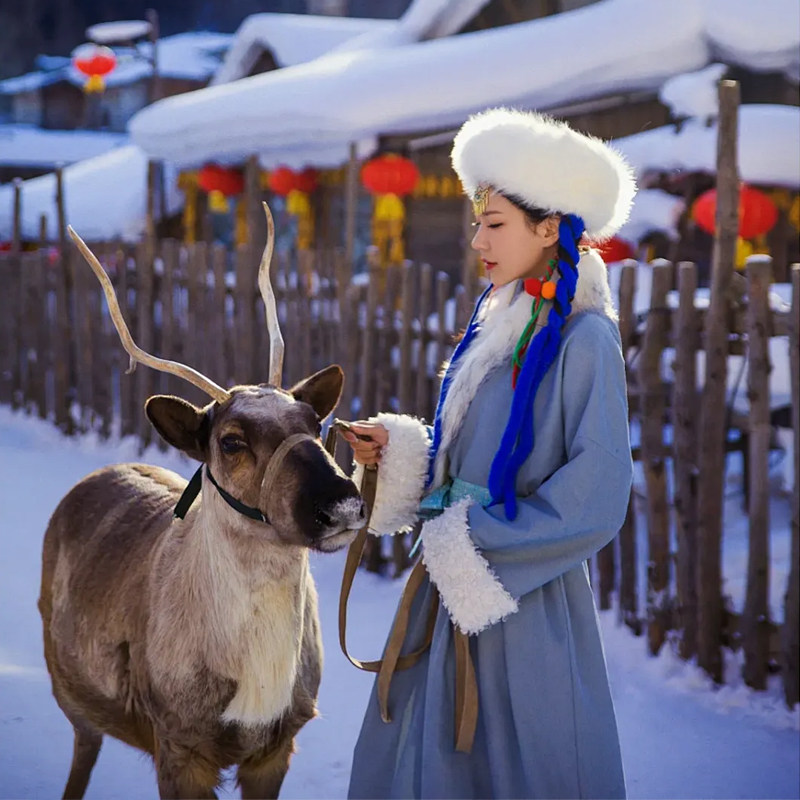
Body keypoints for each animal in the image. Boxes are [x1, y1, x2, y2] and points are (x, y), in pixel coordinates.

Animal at [38, 203, 367, 800]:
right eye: (231, 441)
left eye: (315, 423)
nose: (341, 506)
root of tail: (97, 474)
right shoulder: (180, 746)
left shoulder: (276, 748)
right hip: (71, 693)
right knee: (81, 754)